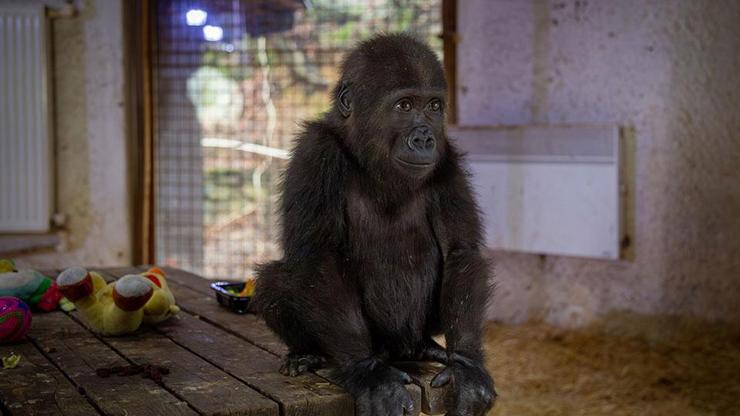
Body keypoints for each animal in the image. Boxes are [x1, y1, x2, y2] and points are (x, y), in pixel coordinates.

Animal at [254, 33, 498, 416]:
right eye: (404, 106)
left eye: (433, 106)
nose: (425, 138)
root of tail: (399, 348)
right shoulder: (315, 153)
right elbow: (320, 257)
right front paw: (366, 372)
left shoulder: (447, 158)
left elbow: (461, 250)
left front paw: (468, 366)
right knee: (274, 280)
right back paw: (309, 353)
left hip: (417, 333)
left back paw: (429, 347)